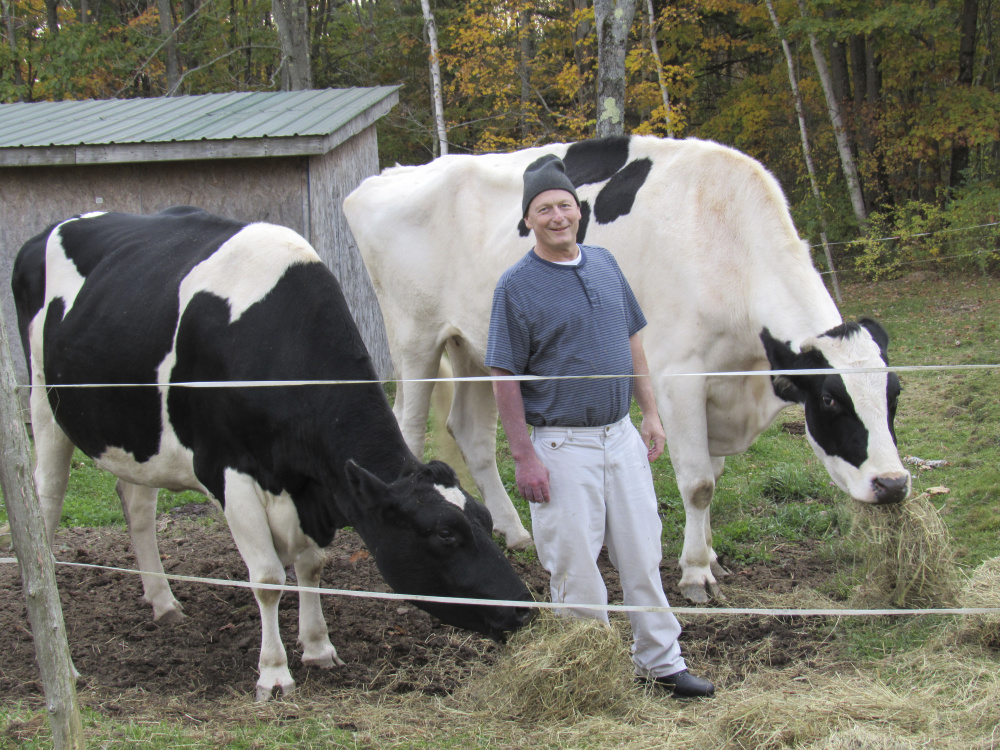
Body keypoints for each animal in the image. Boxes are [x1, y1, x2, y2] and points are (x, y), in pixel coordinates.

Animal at [11, 207, 536, 704]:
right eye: (445, 534)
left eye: (484, 519)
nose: (523, 607)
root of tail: (49, 231)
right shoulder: (230, 473)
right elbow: (266, 578)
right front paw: (274, 674)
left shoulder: (308, 485)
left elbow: (310, 565)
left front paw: (319, 647)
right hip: (43, 401)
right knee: (45, 502)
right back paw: (60, 647)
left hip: (136, 431)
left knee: (137, 505)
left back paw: (163, 602)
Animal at [346, 135, 916, 604]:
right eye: (830, 400)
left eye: (895, 394)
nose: (893, 484)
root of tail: (385, 176)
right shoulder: (679, 376)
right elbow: (698, 483)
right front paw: (694, 573)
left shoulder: (719, 386)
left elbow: (715, 474)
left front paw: (711, 557)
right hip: (415, 338)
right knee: (409, 425)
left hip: (474, 345)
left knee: (471, 433)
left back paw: (515, 532)